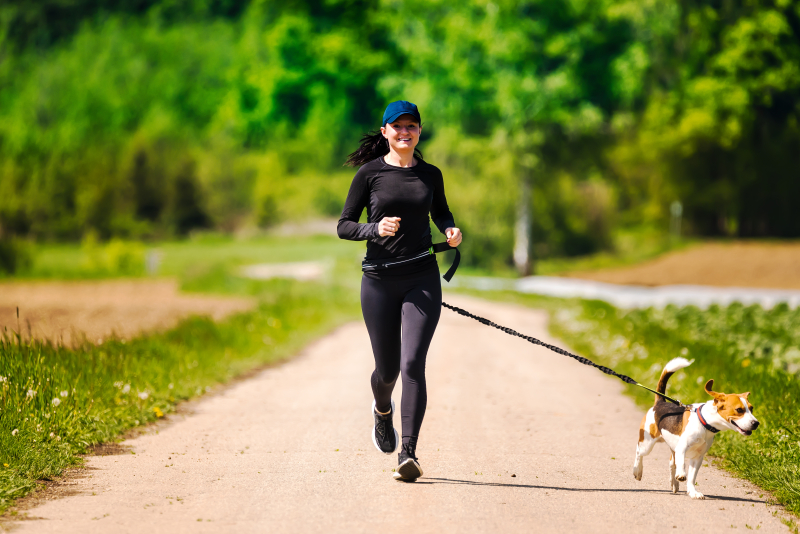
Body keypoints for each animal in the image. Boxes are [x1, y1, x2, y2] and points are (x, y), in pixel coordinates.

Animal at [636, 358, 760, 500]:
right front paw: (681, 475)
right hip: (647, 443)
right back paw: (637, 471)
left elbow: (692, 477)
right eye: (739, 410)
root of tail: (660, 402)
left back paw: (674, 484)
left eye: (751, 409)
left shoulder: (698, 457)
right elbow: (682, 465)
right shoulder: (682, 448)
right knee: (639, 452)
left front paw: (692, 492)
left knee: (671, 462)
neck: (704, 423)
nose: (756, 423)